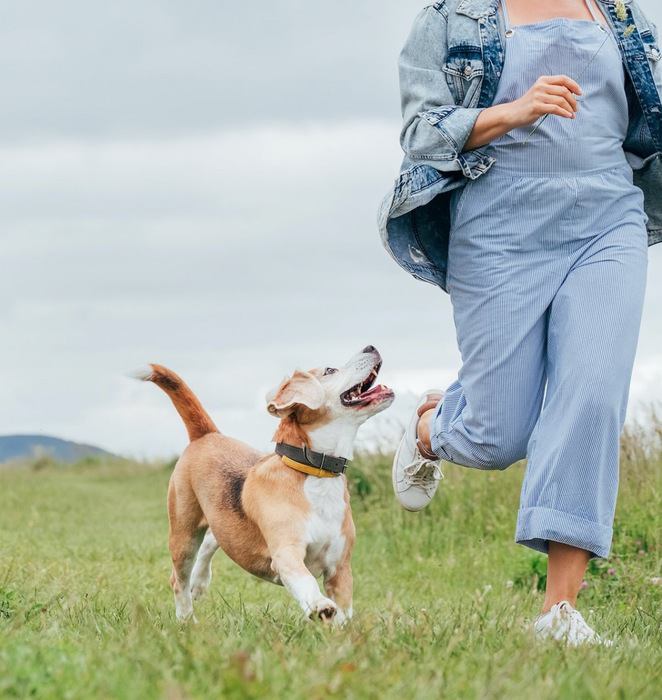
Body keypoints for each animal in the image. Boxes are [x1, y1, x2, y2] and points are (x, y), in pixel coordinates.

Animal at [136, 344, 394, 624]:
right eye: (330, 370)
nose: (371, 346)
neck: (314, 472)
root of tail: (206, 435)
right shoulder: (286, 554)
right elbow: (306, 582)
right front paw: (320, 606)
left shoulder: (340, 568)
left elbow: (344, 612)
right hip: (184, 532)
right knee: (178, 579)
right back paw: (186, 620)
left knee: (212, 540)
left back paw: (200, 583)